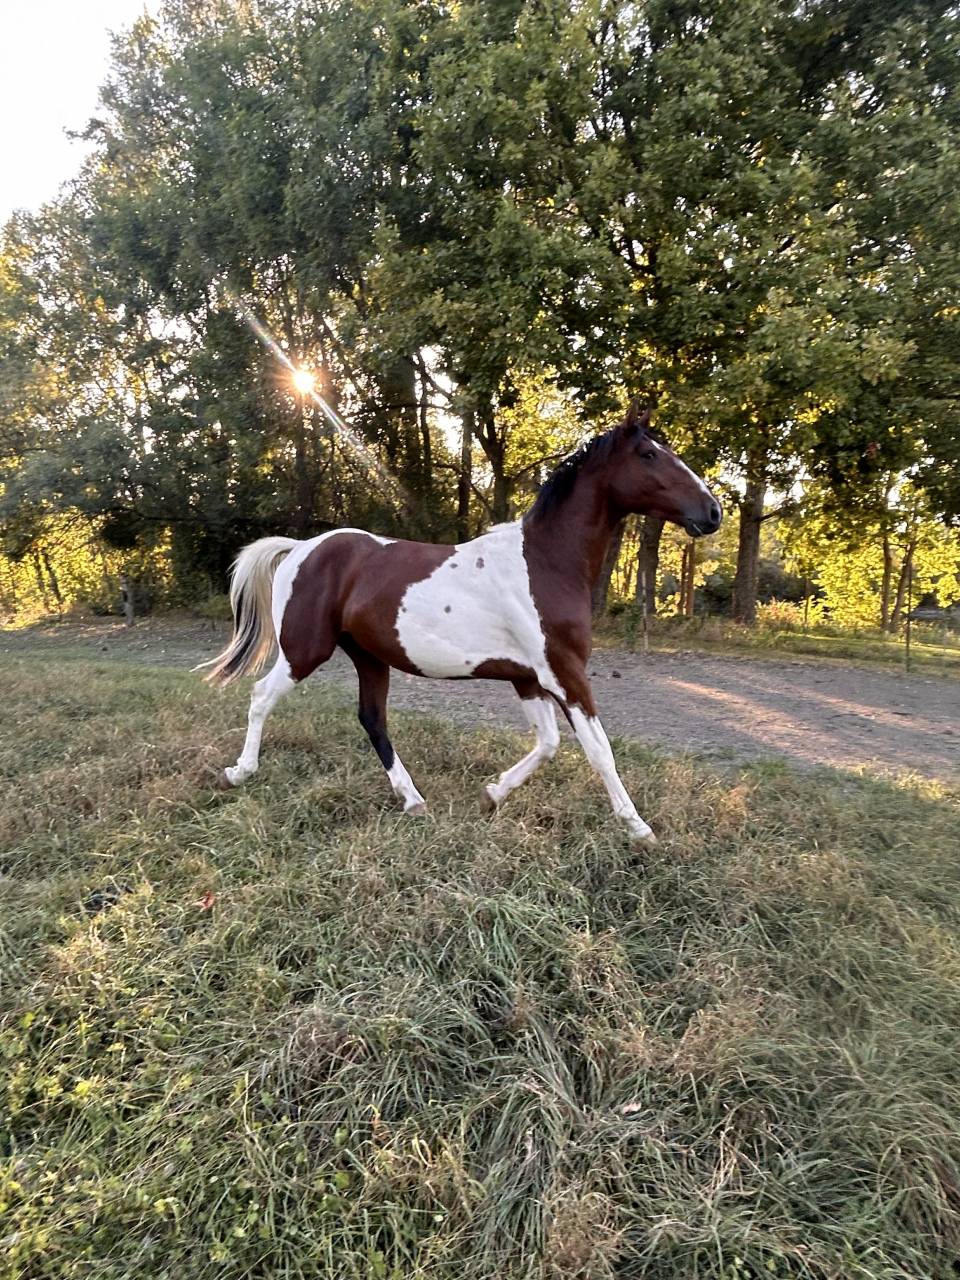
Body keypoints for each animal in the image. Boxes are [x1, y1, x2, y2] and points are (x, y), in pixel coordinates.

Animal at [200, 402, 721, 845]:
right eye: (649, 454)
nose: (712, 511)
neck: (546, 563)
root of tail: (301, 548)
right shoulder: (564, 673)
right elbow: (598, 749)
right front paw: (639, 829)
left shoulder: (528, 678)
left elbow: (549, 743)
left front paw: (491, 795)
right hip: (305, 650)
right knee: (262, 697)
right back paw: (239, 773)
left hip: (368, 656)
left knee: (372, 719)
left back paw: (412, 800)